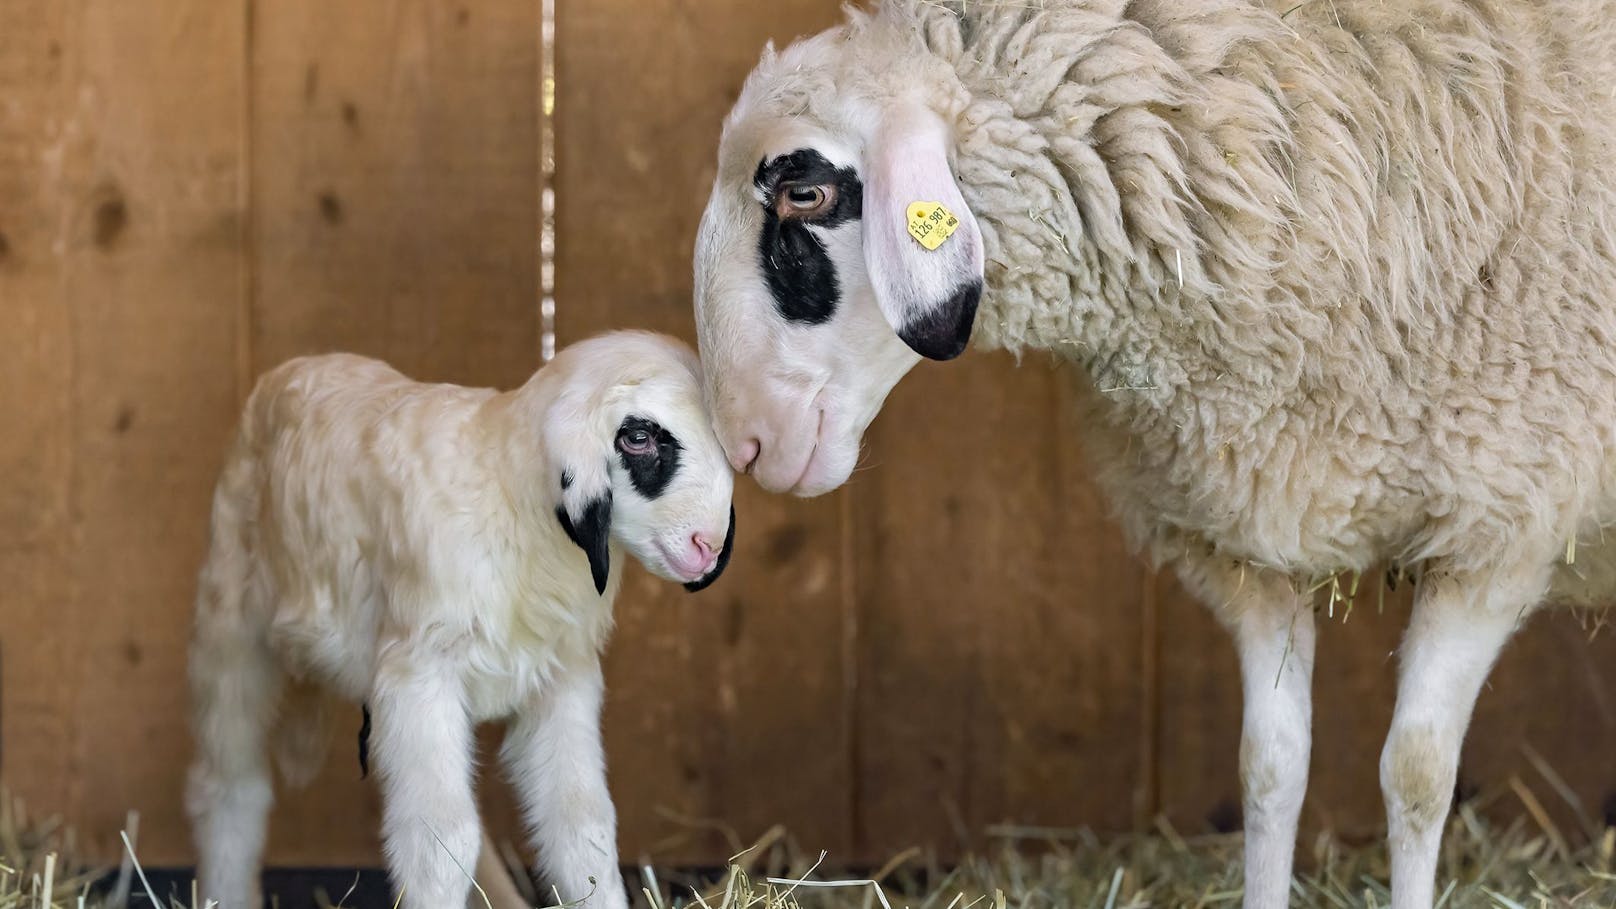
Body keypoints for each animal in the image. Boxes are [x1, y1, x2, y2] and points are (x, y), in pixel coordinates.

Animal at [183, 328, 733, 905]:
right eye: (639, 438)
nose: (709, 547)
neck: (512, 506)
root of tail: (299, 366)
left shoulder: (564, 676)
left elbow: (583, 830)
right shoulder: (419, 672)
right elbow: (440, 840)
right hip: (230, 628)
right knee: (228, 789)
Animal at [691, 1, 1616, 905]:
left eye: (805, 191)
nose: (747, 442)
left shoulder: (1495, 529)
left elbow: (1417, 775)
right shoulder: (1253, 528)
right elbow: (1270, 768)